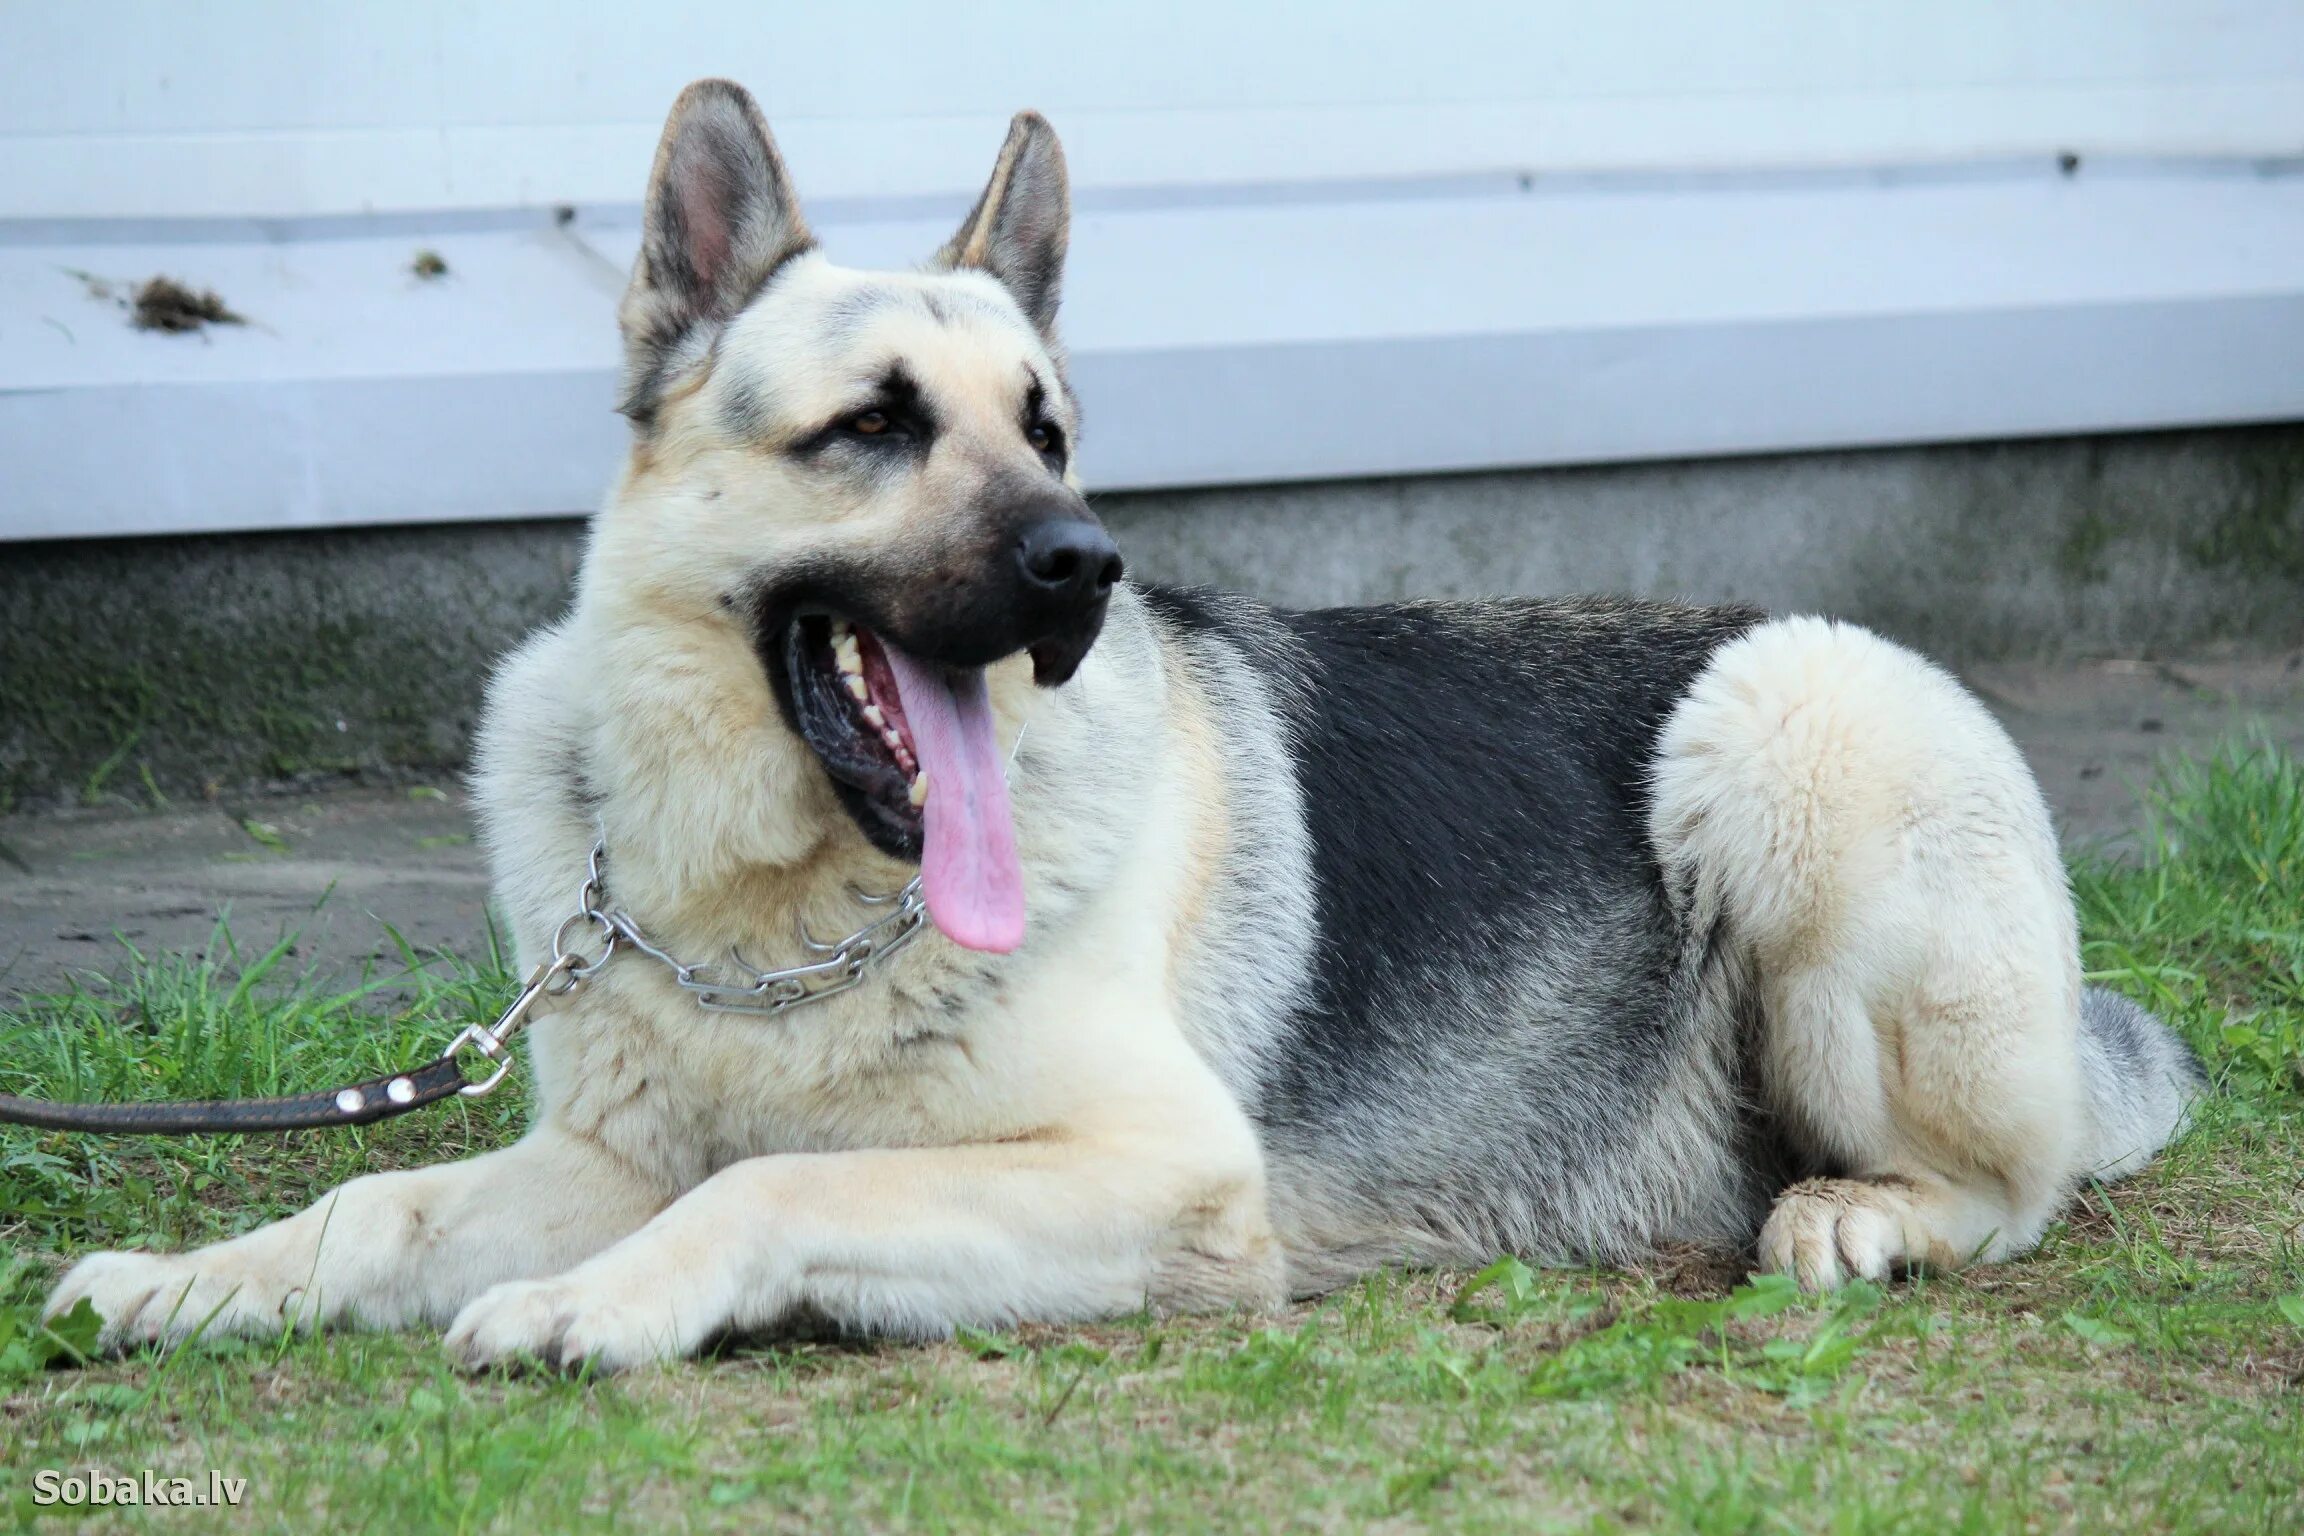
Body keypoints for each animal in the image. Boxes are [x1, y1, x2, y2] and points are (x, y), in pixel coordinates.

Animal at [49, 78, 2193, 1372]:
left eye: (1047, 429)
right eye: (874, 426)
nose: (1087, 565)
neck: (777, 915)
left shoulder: (1159, 1175)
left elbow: (782, 1180)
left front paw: (599, 1310)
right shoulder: (594, 1153)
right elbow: (377, 1196)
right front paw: (193, 1278)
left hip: (1777, 721)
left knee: (2011, 1186)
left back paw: (1852, 1218)